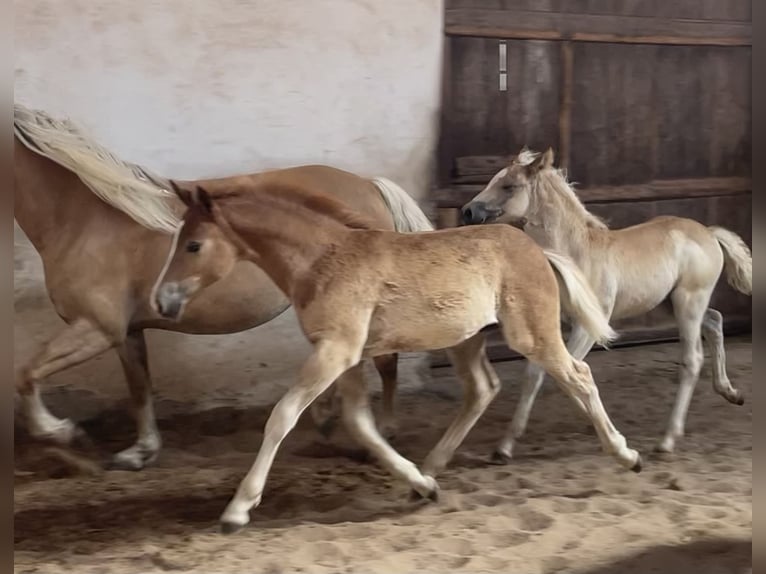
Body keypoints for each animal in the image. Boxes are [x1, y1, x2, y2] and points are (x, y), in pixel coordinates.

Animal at [13, 103, 432, 470]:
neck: (84, 220)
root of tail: (370, 186)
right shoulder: (127, 332)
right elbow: (139, 389)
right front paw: (139, 452)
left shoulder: (96, 328)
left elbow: (27, 373)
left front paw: (61, 432)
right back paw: (326, 417)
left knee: (386, 362)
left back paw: (384, 430)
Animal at [154, 178, 643, 533]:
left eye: (193, 245)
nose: (162, 302)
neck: (322, 260)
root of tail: (536, 248)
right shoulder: (344, 355)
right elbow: (360, 424)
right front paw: (421, 486)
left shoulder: (336, 352)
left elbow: (283, 416)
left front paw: (238, 509)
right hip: (466, 338)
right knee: (483, 389)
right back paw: (433, 467)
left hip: (531, 334)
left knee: (578, 376)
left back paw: (626, 455)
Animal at [461, 147, 752, 458]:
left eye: (509, 186)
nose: (467, 211)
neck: (576, 253)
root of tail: (709, 232)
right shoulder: (554, 324)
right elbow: (545, 374)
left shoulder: (588, 327)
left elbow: (554, 373)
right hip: (670, 302)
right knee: (715, 321)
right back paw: (731, 392)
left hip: (689, 302)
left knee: (692, 359)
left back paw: (668, 439)